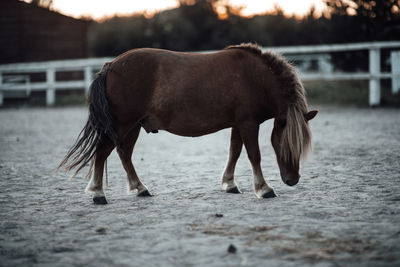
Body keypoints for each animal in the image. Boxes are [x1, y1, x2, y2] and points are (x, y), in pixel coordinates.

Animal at [57, 43, 318, 205]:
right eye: (285, 145)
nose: (292, 180)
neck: (255, 78)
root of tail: (110, 65)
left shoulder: (238, 124)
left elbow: (234, 152)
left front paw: (229, 184)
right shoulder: (248, 124)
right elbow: (254, 155)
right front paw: (264, 189)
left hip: (132, 127)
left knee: (124, 154)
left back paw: (140, 188)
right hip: (123, 124)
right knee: (102, 152)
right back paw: (98, 193)